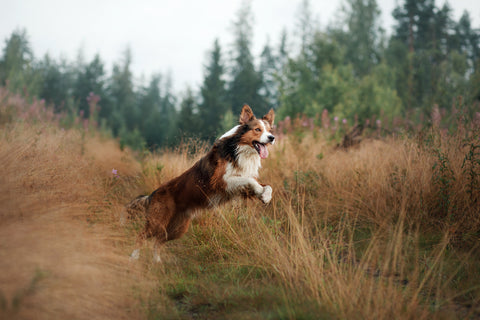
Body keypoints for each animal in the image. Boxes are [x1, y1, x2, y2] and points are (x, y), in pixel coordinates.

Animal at [127, 105, 276, 260]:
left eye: (269, 130)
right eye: (257, 129)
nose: (272, 138)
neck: (239, 149)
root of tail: (152, 194)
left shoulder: (239, 188)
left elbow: (266, 186)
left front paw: (265, 196)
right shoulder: (221, 180)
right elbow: (250, 180)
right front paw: (261, 192)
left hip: (178, 228)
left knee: (158, 241)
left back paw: (157, 261)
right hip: (158, 221)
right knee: (141, 236)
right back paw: (134, 258)